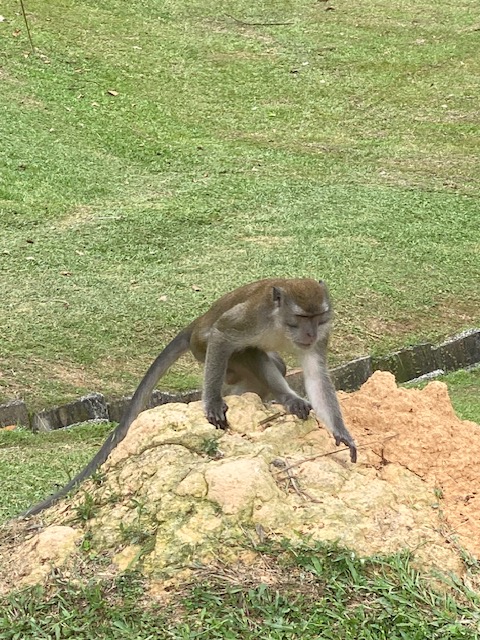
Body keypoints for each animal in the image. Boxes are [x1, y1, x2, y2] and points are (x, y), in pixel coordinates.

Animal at [22, 278, 356, 518]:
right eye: (301, 316)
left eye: (319, 316)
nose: (309, 333)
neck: (280, 326)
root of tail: (195, 323)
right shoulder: (250, 318)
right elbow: (223, 335)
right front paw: (212, 404)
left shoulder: (322, 335)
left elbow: (316, 375)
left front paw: (341, 431)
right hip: (202, 347)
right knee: (247, 352)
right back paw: (275, 396)